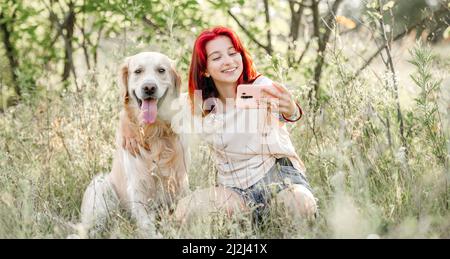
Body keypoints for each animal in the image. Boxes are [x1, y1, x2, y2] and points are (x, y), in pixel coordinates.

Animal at [79, 51, 188, 239]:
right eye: (138, 71)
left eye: (161, 70)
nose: (149, 88)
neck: (154, 132)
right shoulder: (138, 187)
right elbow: (147, 226)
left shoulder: (180, 182)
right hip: (100, 186)